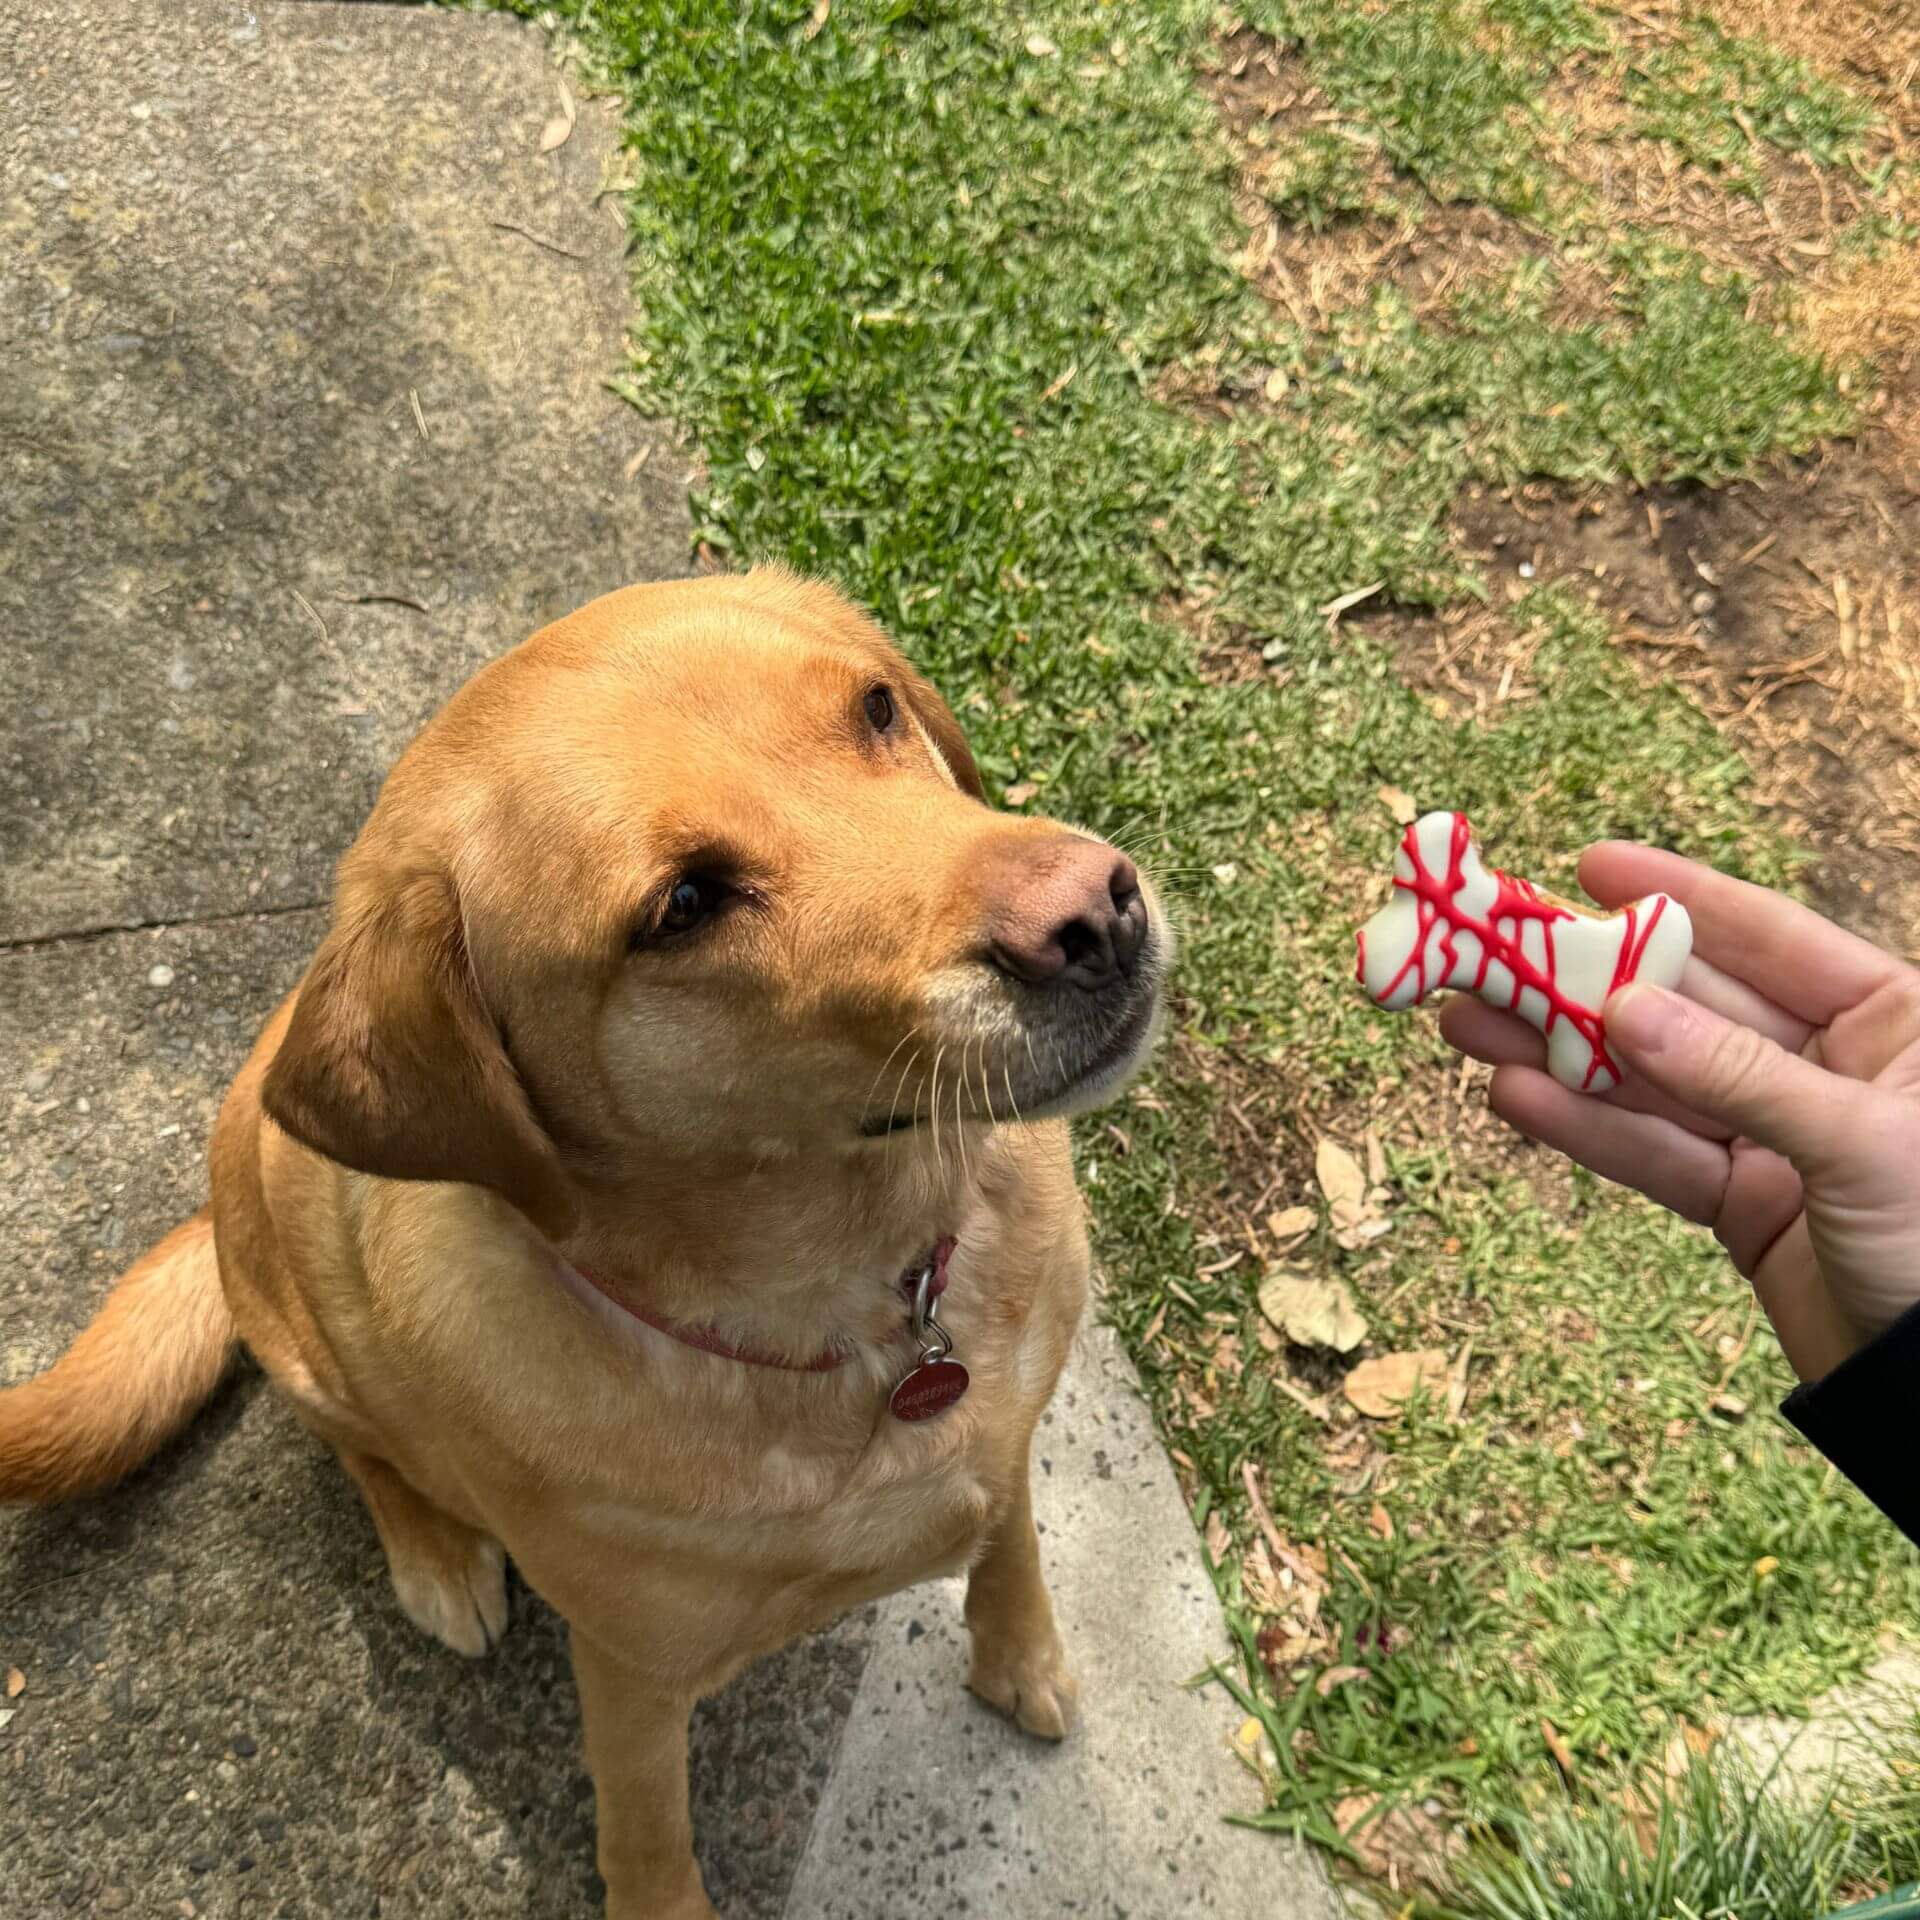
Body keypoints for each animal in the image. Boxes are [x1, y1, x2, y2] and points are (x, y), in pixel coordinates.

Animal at [3, 572, 1167, 1920]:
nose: (1092, 914)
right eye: (684, 905)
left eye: (877, 707)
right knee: (364, 1450)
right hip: (303, 1337)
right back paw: (438, 1556)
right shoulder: (628, 1670)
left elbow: (1011, 1541)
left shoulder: (1007, 1433)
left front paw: (1022, 1655)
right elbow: (647, 1830)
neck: (875, 1314)